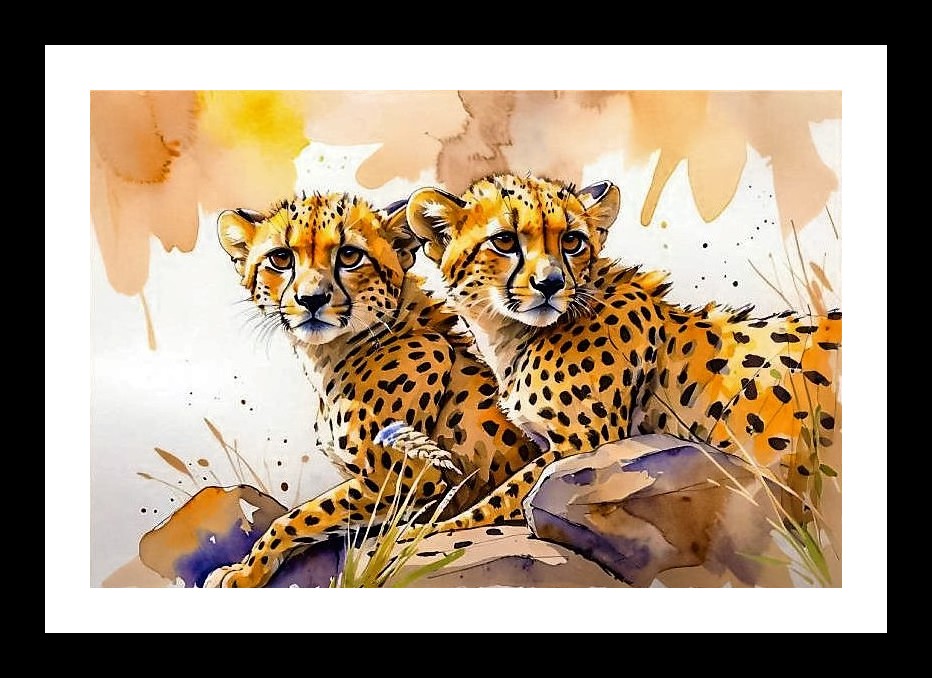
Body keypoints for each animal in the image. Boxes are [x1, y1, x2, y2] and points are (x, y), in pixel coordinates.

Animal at [205, 192, 540, 587]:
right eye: (281, 258)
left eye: (350, 255)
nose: (311, 299)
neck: (332, 357)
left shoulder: (405, 478)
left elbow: (298, 517)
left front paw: (244, 573)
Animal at [406, 173, 841, 522]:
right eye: (504, 240)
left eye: (572, 240)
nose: (550, 283)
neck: (512, 335)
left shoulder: (584, 445)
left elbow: (497, 501)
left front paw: (422, 534)